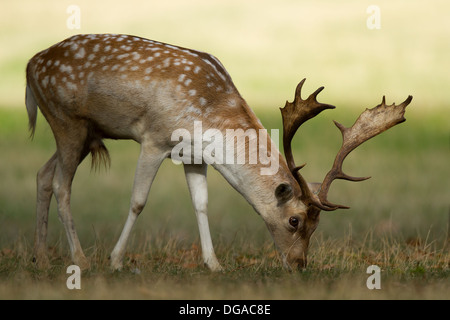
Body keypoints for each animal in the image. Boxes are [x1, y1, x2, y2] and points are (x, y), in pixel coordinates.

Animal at [25, 34, 412, 270]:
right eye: (295, 220)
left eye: (317, 226)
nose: (299, 265)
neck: (209, 114)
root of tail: (31, 66)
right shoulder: (154, 138)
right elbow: (138, 201)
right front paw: (116, 260)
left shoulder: (194, 155)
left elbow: (201, 204)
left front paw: (214, 264)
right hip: (67, 121)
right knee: (61, 185)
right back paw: (80, 260)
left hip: (85, 132)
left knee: (43, 174)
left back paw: (41, 258)